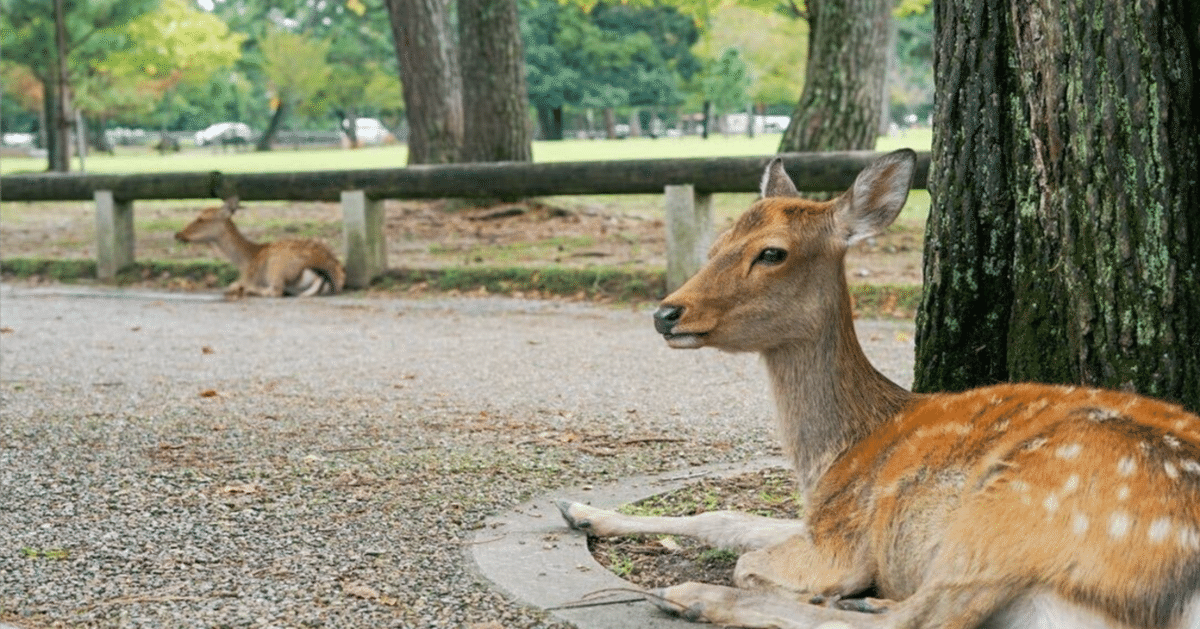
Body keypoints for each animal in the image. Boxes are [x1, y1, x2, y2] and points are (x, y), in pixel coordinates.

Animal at [175, 198, 350, 298]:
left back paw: (247, 290)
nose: (178, 234)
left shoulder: (249, 276)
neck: (245, 260)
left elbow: (233, 284)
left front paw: (238, 288)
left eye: (201, 219)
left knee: (275, 291)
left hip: (277, 266)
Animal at [559, 151, 1200, 629]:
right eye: (715, 244)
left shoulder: (844, 533)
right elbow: (724, 517)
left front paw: (819, 589)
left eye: (772, 252)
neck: (834, 455)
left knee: (921, 617)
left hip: (1013, 511)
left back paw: (697, 596)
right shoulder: (819, 518)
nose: (667, 313)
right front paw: (579, 511)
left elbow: (751, 560)